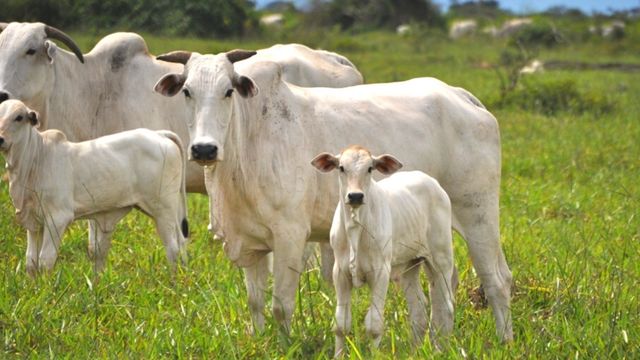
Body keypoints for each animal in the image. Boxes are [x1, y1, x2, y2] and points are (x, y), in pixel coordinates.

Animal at [0, 100, 189, 276]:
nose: (0, 139)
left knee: (173, 249)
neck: (36, 158)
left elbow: (45, 261)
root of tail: (159, 134)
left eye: (18, 117)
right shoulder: (33, 222)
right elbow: (31, 262)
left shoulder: (58, 218)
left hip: (163, 209)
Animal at [312, 145, 456, 356]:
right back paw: (414, 351)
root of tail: (431, 182)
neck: (356, 228)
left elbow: (374, 325)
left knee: (445, 307)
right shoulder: (340, 273)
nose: (355, 196)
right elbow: (341, 324)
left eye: (370, 168)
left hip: (442, 259)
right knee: (419, 309)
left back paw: (439, 350)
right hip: (410, 264)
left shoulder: (381, 272)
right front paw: (338, 355)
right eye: (341, 168)